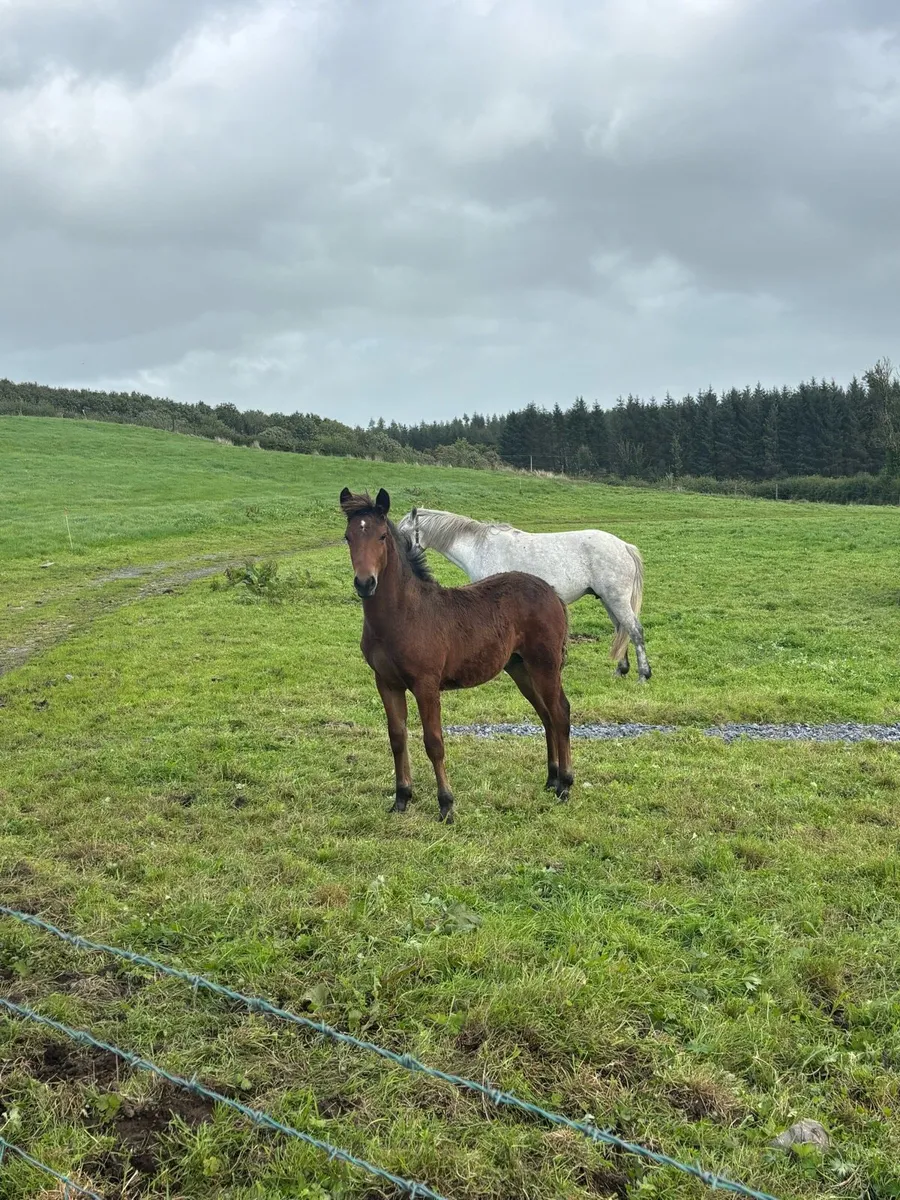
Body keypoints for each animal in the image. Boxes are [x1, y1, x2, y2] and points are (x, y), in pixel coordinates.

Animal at [340, 487, 573, 823]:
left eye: (382, 536)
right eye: (347, 537)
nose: (364, 583)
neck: (402, 615)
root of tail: (551, 591)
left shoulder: (426, 685)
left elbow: (434, 742)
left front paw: (446, 805)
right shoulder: (385, 682)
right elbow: (397, 737)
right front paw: (401, 798)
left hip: (546, 664)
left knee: (560, 712)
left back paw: (565, 785)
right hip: (520, 668)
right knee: (546, 715)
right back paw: (551, 779)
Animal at [396, 506, 651, 682]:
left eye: (401, 532)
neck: (479, 547)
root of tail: (625, 546)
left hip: (616, 599)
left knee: (634, 630)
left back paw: (643, 674)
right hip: (609, 600)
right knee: (622, 630)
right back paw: (621, 670)